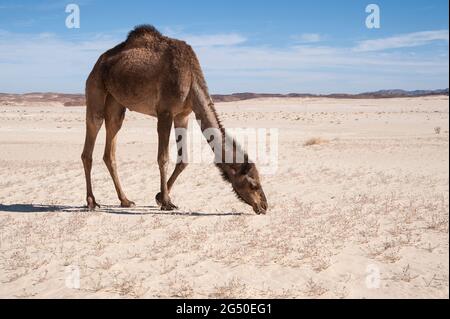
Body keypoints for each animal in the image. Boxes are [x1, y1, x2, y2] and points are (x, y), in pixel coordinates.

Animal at [81, 25, 268, 215]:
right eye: (253, 184)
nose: (264, 206)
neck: (191, 79)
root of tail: (98, 63)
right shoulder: (165, 112)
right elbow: (163, 158)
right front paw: (166, 202)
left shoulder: (182, 115)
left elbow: (183, 160)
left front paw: (159, 197)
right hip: (95, 87)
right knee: (91, 139)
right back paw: (91, 201)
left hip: (116, 102)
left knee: (110, 146)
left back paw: (125, 200)